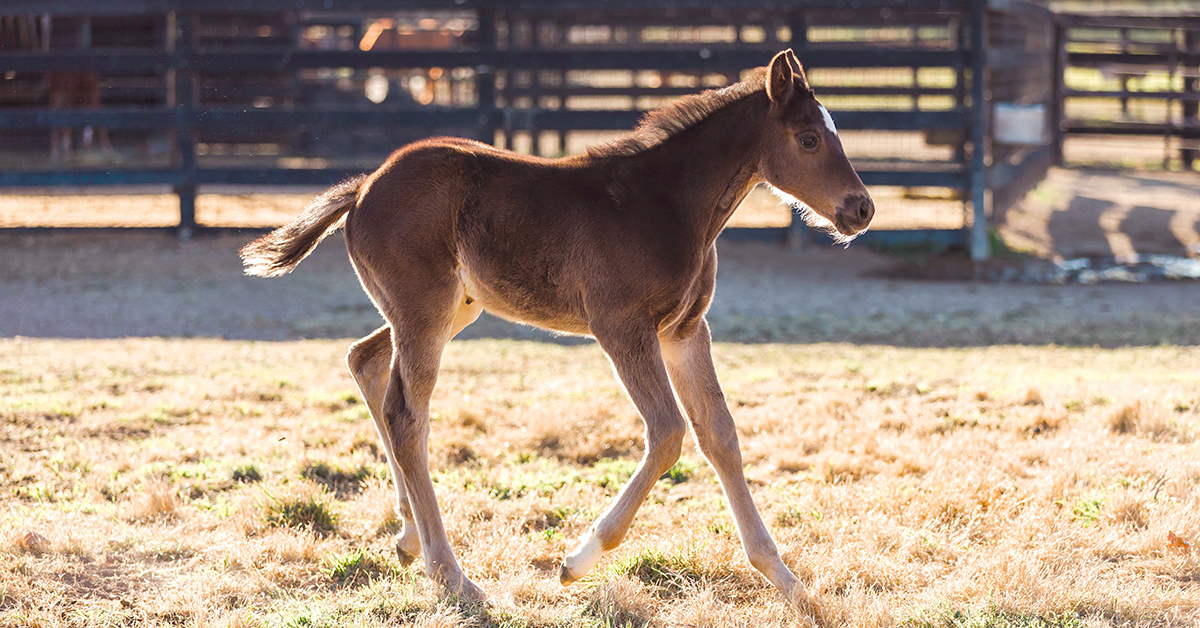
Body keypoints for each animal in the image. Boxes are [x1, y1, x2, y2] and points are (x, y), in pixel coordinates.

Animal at [241, 49, 873, 605]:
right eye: (809, 138)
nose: (861, 209)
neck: (664, 203)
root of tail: (365, 186)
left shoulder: (685, 332)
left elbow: (719, 435)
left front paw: (785, 579)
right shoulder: (623, 328)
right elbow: (669, 432)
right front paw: (577, 560)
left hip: (450, 309)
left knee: (367, 363)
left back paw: (410, 538)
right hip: (425, 310)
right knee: (406, 415)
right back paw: (453, 576)